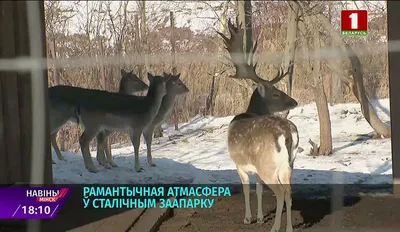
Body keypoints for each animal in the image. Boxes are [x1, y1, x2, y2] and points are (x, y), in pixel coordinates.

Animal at [217, 20, 298, 232]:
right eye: (276, 93)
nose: (294, 101)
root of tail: (286, 133)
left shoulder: (239, 165)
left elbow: (247, 190)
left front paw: (248, 218)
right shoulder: (256, 168)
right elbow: (260, 189)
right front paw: (260, 217)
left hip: (268, 164)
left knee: (280, 192)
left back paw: (275, 227)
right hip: (288, 164)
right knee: (289, 191)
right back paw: (289, 228)